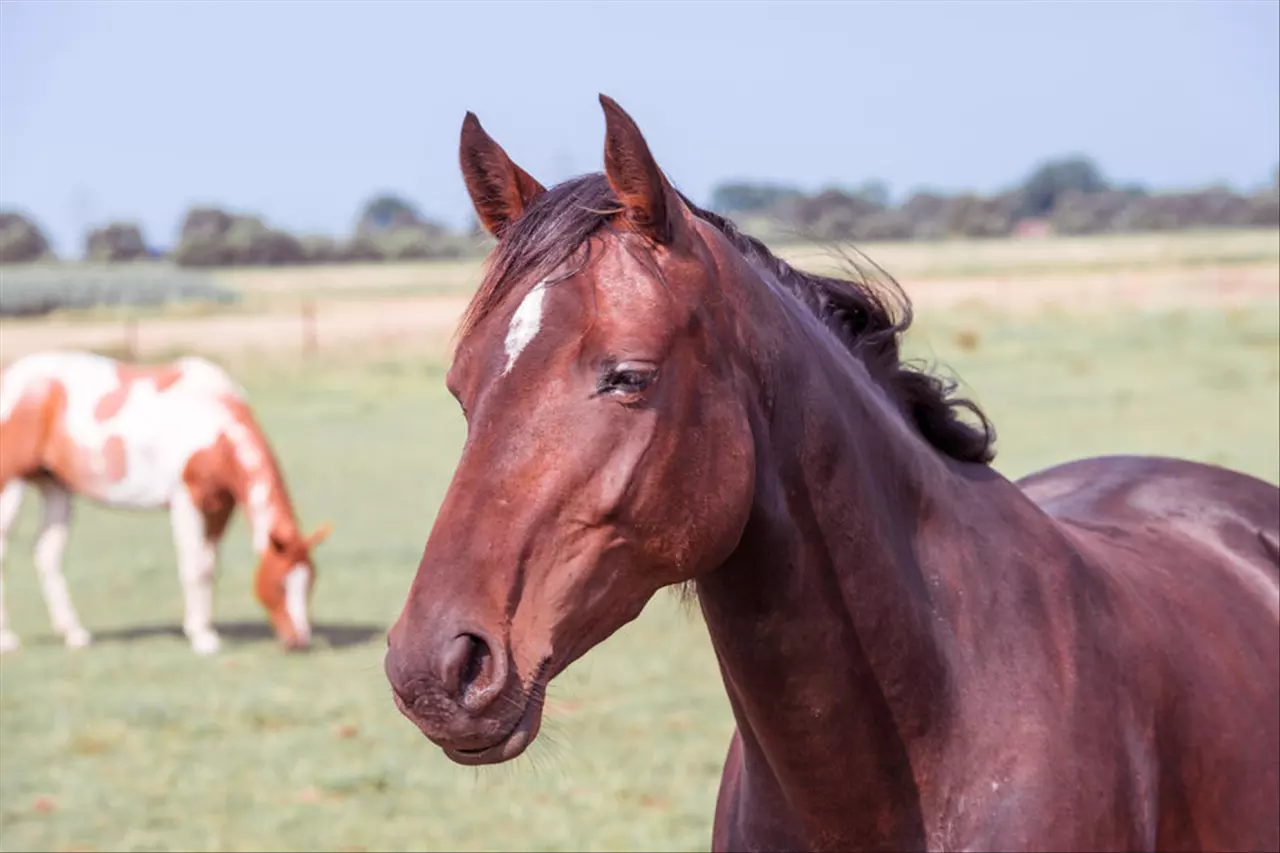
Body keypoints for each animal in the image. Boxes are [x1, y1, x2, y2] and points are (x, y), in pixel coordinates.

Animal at [1, 348, 330, 653]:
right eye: (279, 583)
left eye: (311, 581)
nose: (299, 641)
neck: (212, 417)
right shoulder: (186, 502)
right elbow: (193, 567)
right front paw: (201, 638)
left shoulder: (219, 508)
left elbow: (208, 568)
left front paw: (206, 630)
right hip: (11, 485)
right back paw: (8, 640)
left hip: (55, 487)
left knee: (48, 554)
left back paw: (75, 635)